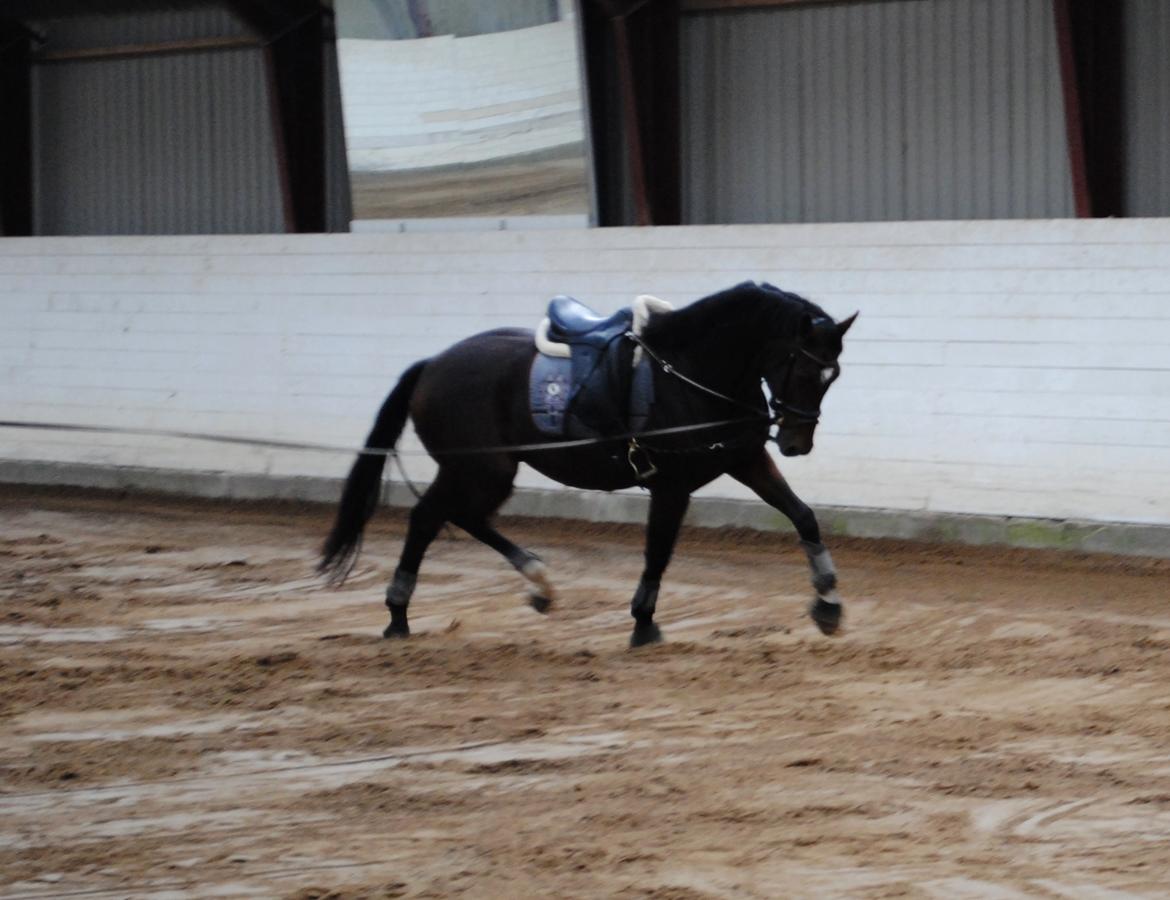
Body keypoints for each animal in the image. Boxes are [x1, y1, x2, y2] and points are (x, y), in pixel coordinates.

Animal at [325, 280, 856, 646]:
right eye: (804, 367)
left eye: (833, 376)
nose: (795, 442)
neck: (691, 372)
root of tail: (432, 365)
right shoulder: (672, 484)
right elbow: (658, 551)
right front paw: (644, 624)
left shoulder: (745, 459)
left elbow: (803, 516)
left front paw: (828, 603)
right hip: (478, 468)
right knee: (427, 518)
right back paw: (398, 615)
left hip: (486, 471)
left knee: (460, 516)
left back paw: (538, 584)